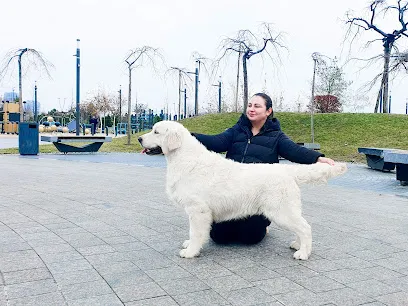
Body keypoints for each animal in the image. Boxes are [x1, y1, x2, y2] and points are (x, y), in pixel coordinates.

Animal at [139, 120, 346, 260]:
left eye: (156, 131)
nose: (139, 138)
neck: (184, 158)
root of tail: (287, 169)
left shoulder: (198, 210)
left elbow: (195, 233)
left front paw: (190, 252)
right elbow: (193, 233)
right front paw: (190, 246)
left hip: (281, 211)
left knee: (305, 227)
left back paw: (303, 253)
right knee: (300, 227)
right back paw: (297, 245)